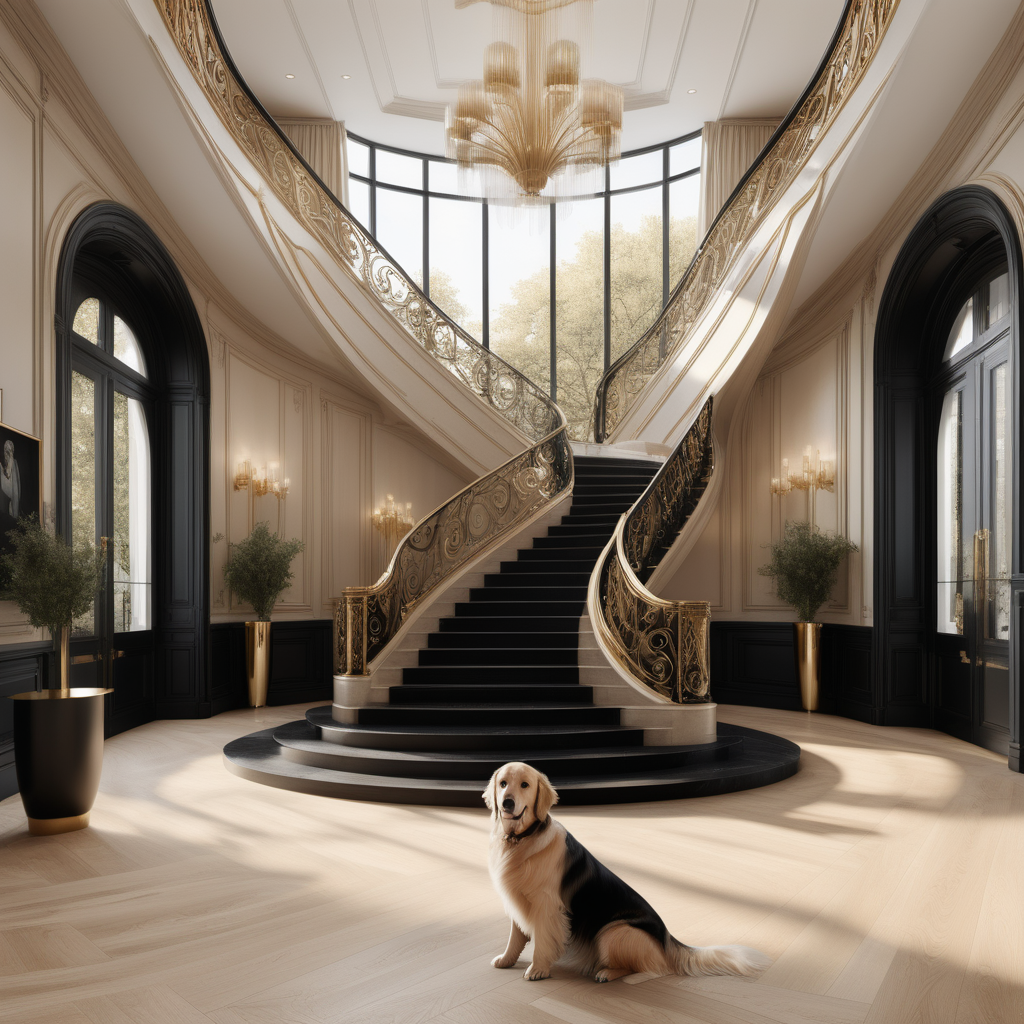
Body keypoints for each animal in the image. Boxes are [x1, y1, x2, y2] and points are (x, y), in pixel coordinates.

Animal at [483, 761, 770, 983]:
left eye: (525, 785)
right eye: (503, 783)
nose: (507, 804)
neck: (519, 840)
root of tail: (668, 940)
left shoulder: (547, 907)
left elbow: (542, 942)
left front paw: (538, 970)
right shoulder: (518, 901)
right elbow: (515, 938)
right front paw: (507, 960)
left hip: (612, 931)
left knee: (649, 969)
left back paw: (607, 973)